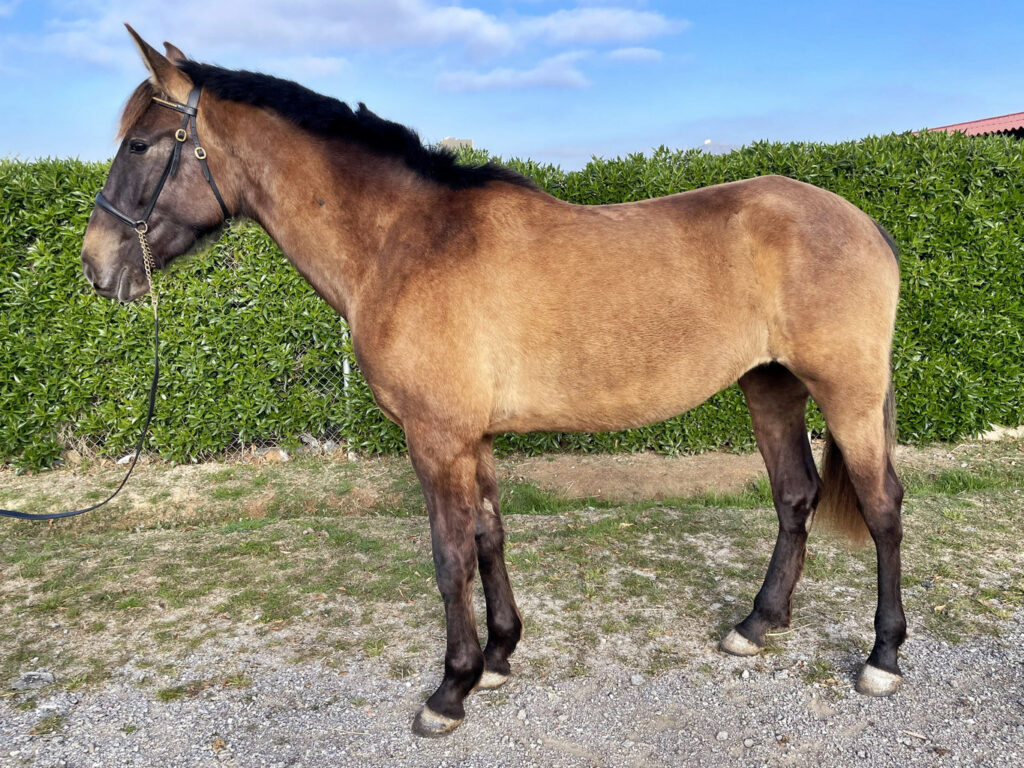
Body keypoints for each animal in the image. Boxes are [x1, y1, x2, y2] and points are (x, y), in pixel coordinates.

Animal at [81, 26, 906, 736]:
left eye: (141, 143)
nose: (96, 264)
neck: (404, 241)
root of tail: (860, 221)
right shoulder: (468, 437)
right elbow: (488, 538)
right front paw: (501, 656)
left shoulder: (435, 438)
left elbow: (449, 560)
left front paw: (450, 690)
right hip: (770, 387)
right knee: (794, 496)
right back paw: (757, 625)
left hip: (847, 395)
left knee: (882, 507)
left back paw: (883, 658)